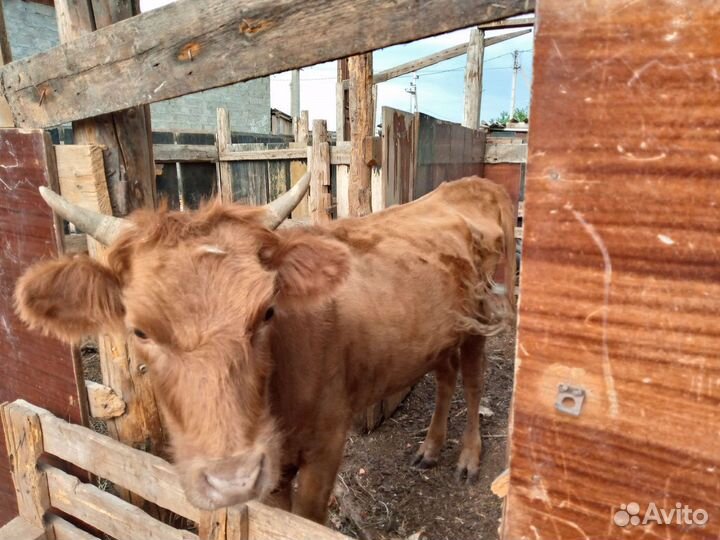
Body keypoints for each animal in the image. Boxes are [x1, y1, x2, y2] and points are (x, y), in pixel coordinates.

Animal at [15, 174, 516, 524]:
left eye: (267, 312)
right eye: (139, 331)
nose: (230, 481)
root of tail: (476, 183)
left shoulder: (327, 444)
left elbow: (305, 521)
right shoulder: (272, 467)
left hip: (483, 316)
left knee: (473, 383)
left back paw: (468, 457)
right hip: (442, 330)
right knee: (446, 376)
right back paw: (430, 447)